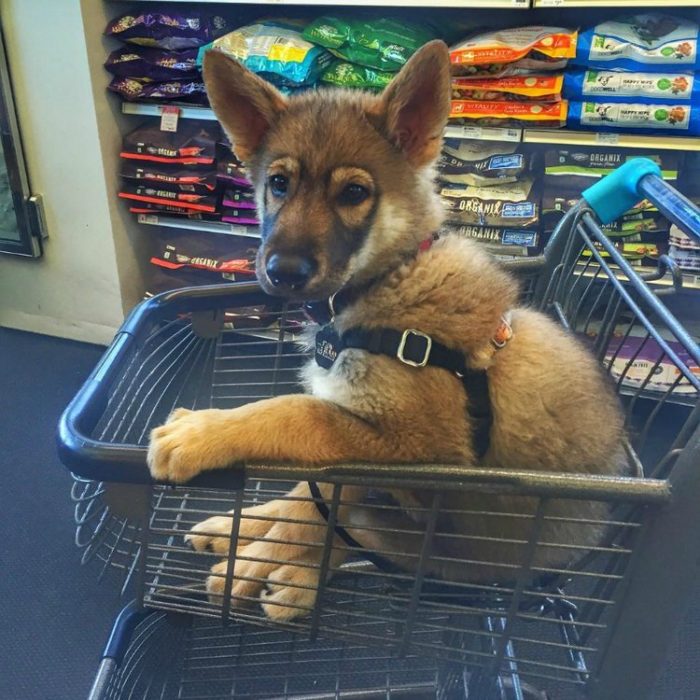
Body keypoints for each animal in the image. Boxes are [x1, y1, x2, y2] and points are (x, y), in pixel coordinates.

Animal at [148, 39, 624, 616]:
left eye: (354, 193)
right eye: (279, 184)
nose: (282, 272)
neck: (388, 280)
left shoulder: (412, 449)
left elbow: (296, 416)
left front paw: (204, 435)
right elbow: (301, 494)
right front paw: (242, 535)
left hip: (440, 542)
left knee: (343, 529)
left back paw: (280, 579)